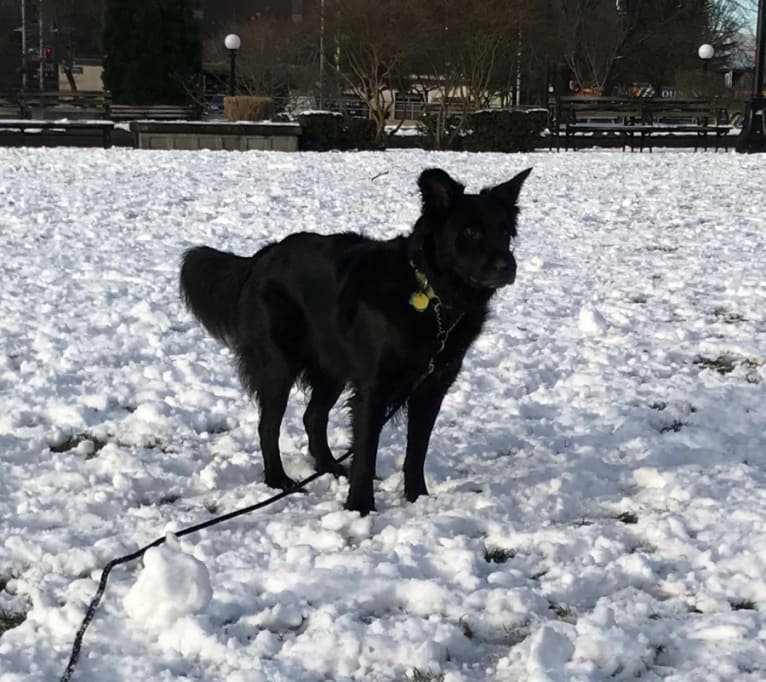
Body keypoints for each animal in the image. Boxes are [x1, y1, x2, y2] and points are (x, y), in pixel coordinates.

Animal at [181, 167, 532, 512]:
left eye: (505, 233)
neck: (431, 297)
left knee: (312, 417)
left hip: (331, 367)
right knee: (269, 425)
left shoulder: (431, 388)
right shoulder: (373, 389)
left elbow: (416, 451)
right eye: (470, 232)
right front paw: (360, 506)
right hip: (279, 366)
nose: (508, 266)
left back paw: (329, 467)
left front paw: (417, 497)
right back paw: (278, 480)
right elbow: (365, 453)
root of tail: (264, 255)